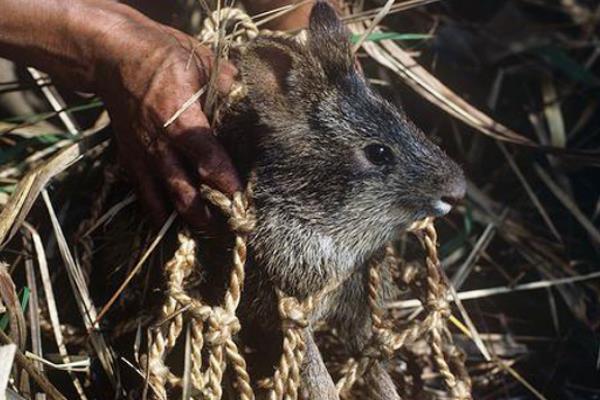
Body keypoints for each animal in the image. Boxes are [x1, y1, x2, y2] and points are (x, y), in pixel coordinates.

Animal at [216, 2, 468, 396]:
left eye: (405, 119)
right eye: (377, 153)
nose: (457, 190)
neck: (332, 229)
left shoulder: (359, 314)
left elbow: (375, 369)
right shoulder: (288, 309)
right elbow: (316, 374)